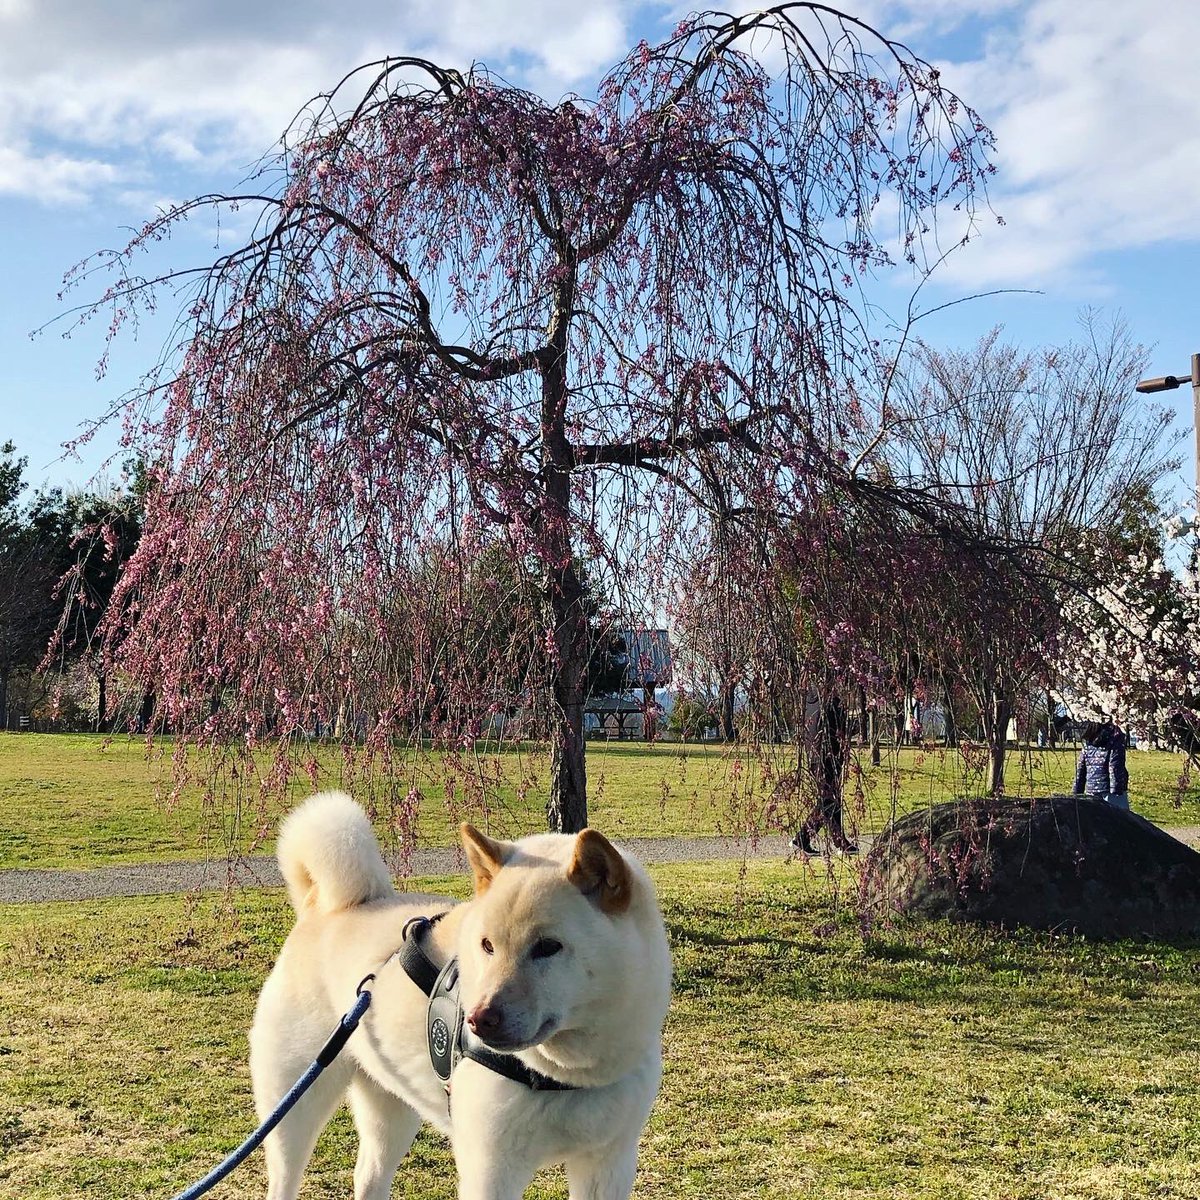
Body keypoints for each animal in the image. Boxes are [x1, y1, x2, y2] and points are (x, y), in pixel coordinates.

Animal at [250, 792, 676, 1195]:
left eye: (548, 947)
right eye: (487, 946)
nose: (477, 1019)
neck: (569, 1074)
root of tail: (324, 909)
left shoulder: (608, 1165)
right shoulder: (492, 1171)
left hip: (391, 1108)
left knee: (369, 1178)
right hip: (294, 1108)